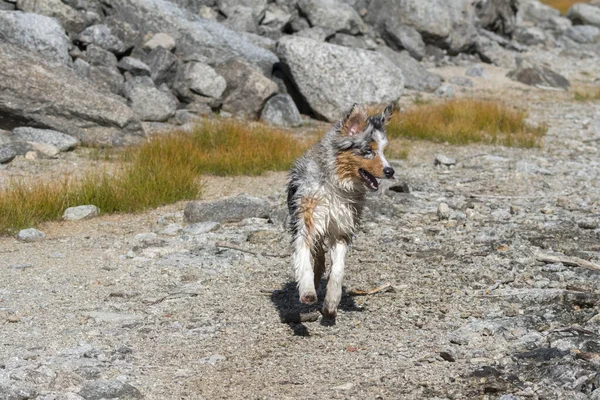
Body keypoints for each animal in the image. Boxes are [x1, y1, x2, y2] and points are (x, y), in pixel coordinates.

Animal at [286, 103, 394, 318]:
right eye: (368, 150)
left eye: (384, 151)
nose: (390, 171)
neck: (336, 185)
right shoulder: (307, 222)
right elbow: (304, 260)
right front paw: (307, 291)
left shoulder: (342, 229)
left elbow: (338, 268)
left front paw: (331, 302)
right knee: (317, 257)